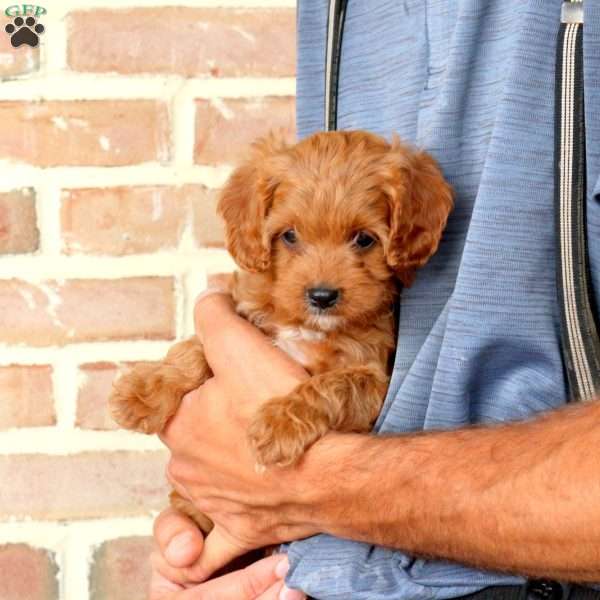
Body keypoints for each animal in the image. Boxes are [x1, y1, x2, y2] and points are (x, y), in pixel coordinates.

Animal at [110, 129, 452, 532]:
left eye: (364, 239)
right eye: (289, 236)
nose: (322, 296)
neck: (308, 326)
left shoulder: (374, 376)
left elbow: (333, 384)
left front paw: (280, 423)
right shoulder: (246, 315)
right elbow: (194, 350)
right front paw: (144, 391)